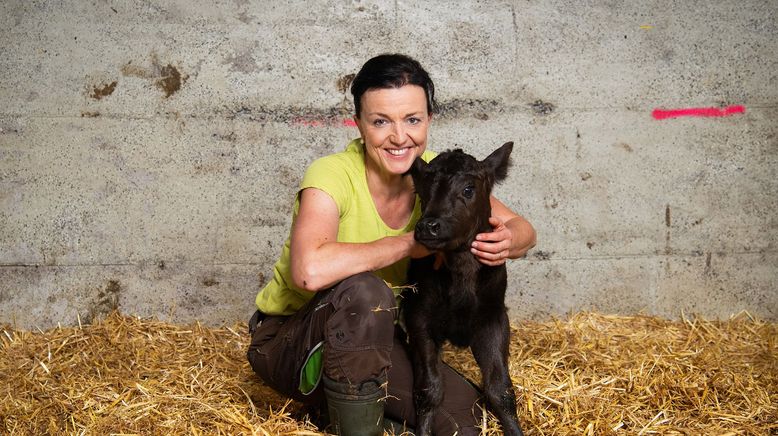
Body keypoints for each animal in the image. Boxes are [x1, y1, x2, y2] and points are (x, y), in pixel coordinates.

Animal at [404, 143, 524, 436]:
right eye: (422, 190)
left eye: (469, 189)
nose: (428, 226)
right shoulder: (419, 317)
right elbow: (429, 389)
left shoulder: (494, 318)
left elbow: (500, 389)